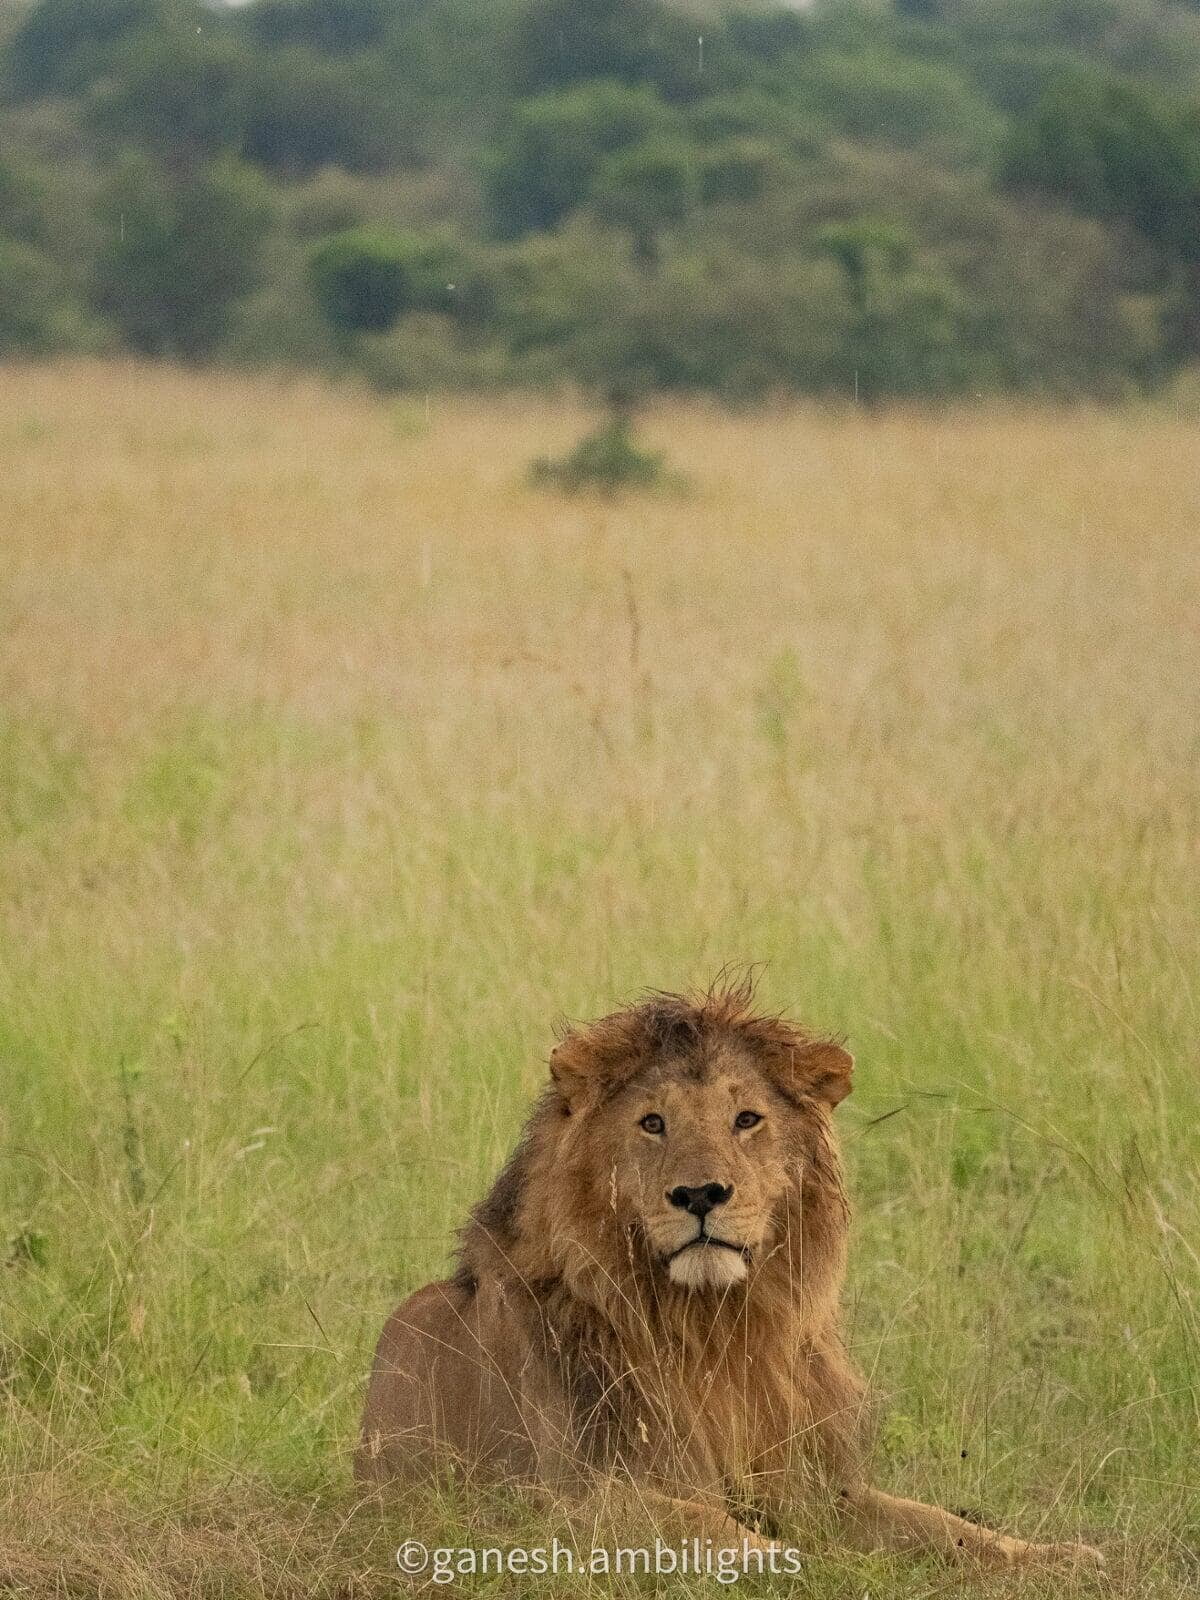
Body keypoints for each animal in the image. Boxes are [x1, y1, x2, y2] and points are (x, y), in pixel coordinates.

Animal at [356, 981, 1102, 1567]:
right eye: (652, 1123)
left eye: (747, 1119)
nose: (700, 1195)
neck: (714, 1327)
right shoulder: (556, 1500)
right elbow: (707, 1526)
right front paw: (791, 1560)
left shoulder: (810, 1482)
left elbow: (941, 1525)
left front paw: (1059, 1557)